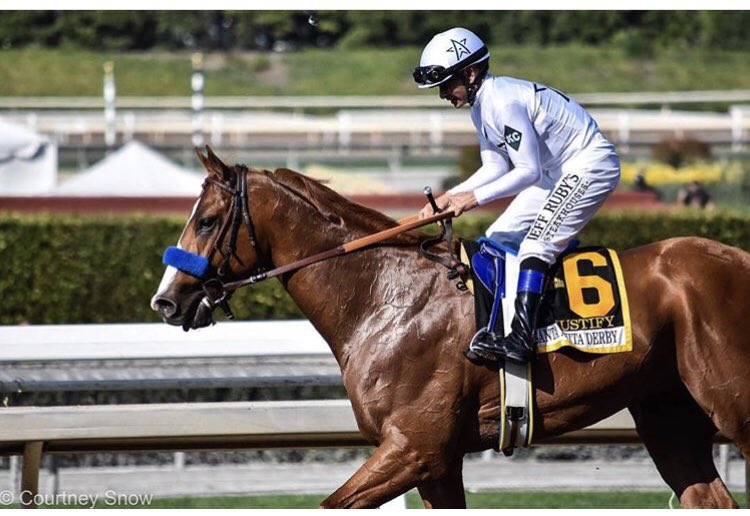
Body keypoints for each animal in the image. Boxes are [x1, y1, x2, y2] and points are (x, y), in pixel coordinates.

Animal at [151, 147, 750, 509]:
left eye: (207, 221)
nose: (167, 302)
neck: (382, 297)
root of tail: (738, 257)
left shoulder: (416, 446)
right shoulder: (434, 462)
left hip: (732, 403)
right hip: (669, 416)